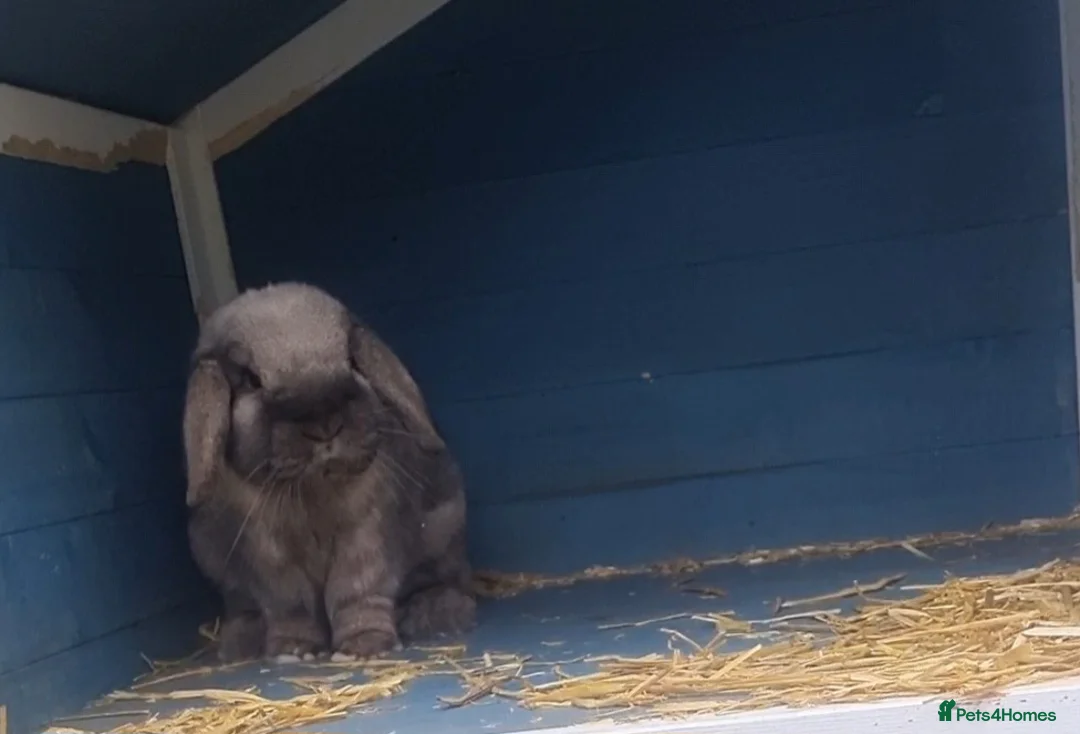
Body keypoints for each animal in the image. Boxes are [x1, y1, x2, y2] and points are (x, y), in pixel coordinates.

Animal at [182, 281, 476, 663]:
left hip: (446, 528)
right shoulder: (267, 554)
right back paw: (241, 641)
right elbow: (291, 606)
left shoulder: (368, 536)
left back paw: (435, 613)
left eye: (350, 360)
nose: (324, 426)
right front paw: (293, 651)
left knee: (448, 579)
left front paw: (365, 646)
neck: (312, 489)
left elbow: (356, 592)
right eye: (250, 380)